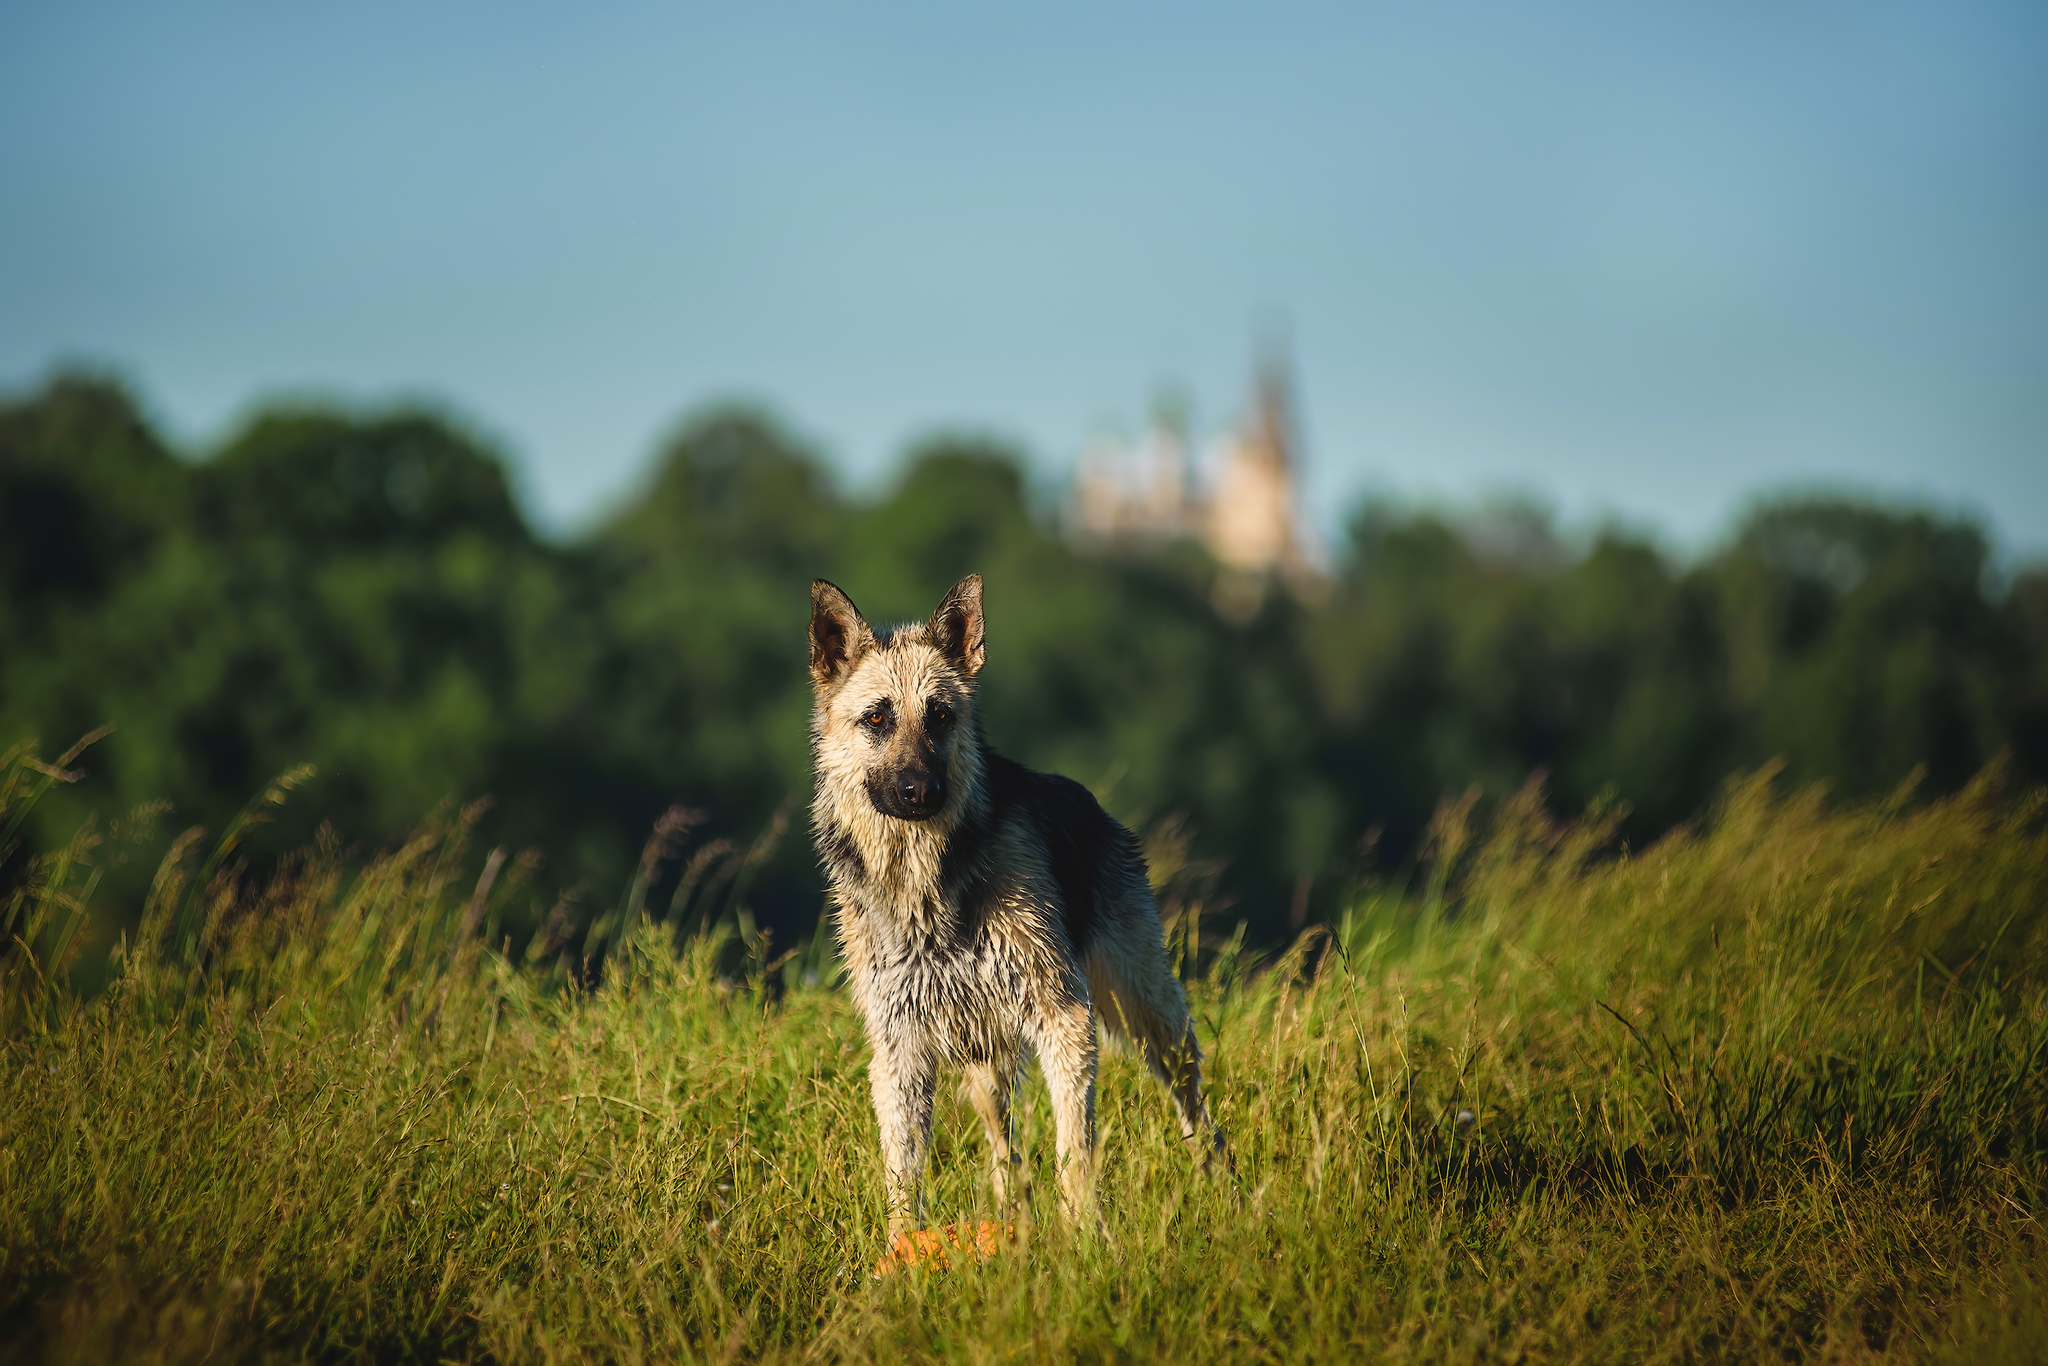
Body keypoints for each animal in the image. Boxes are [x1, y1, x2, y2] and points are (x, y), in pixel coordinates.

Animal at [806, 573, 1220, 1236]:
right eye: (876, 718)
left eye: (940, 716)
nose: (919, 791)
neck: (926, 883)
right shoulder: (899, 1055)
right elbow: (904, 1177)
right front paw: (901, 1251)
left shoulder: (1066, 1019)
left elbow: (1074, 1149)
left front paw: (1083, 1239)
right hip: (984, 1064)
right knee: (1007, 1155)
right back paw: (1012, 1229)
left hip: (1149, 1014)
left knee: (1196, 1110)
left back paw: (1224, 1189)